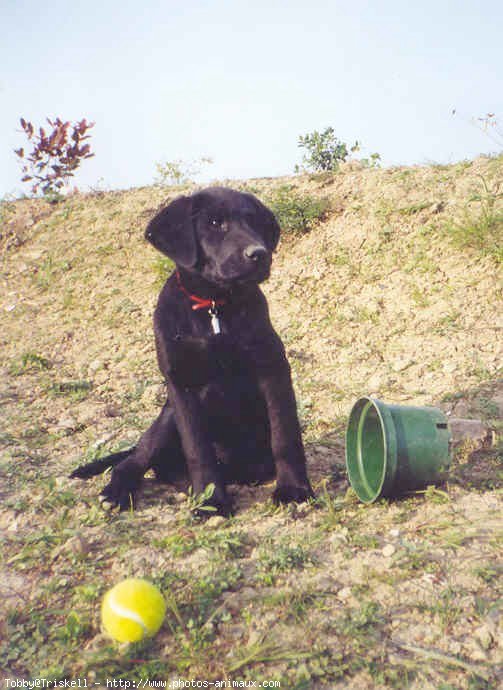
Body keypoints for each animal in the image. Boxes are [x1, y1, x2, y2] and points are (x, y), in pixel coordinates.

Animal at [71, 185, 314, 512]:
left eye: (254, 222)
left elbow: (285, 436)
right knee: (135, 460)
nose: (259, 254)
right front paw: (212, 501)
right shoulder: (181, 386)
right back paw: (119, 491)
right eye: (214, 223)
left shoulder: (272, 369)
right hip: (167, 417)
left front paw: (293, 488)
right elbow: (198, 450)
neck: (214, 307)